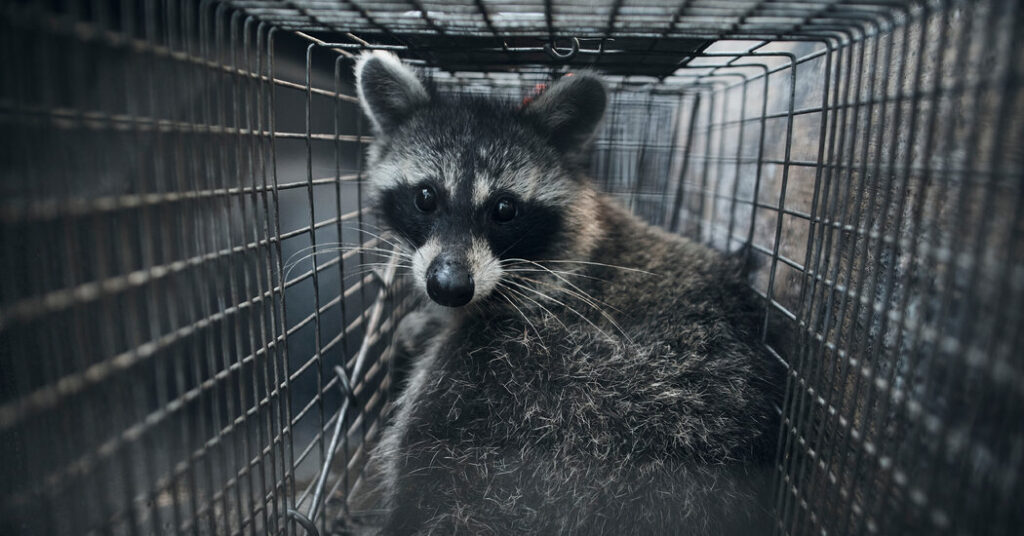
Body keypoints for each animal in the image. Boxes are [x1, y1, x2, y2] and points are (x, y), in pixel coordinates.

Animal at [354, 51, 782, 536]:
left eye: (504, 209)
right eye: (425, 197)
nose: (449, 287)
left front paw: (429, 324)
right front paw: (427, 319)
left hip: (564, 400)